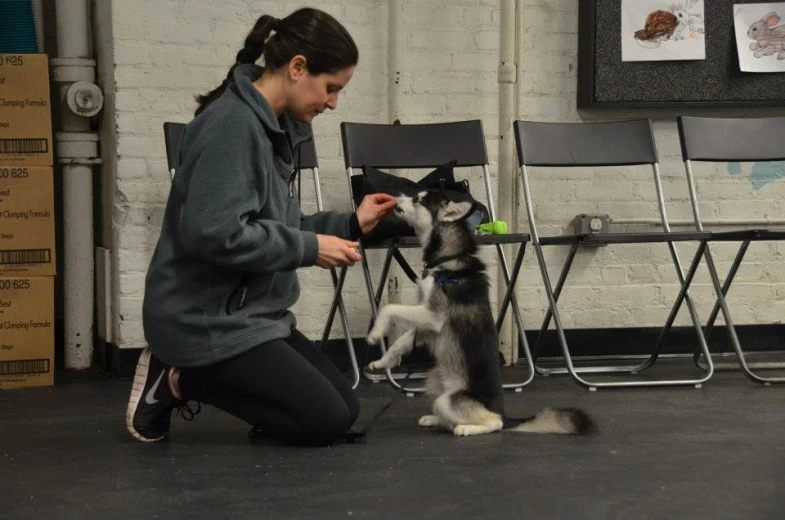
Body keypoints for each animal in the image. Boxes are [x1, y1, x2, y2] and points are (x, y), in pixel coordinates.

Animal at [364, 191, 592, 434]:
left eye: (418, 199)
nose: (395, 196)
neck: (447, 260)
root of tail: (505, 414)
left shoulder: (433, 317)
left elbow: (389, 307)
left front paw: (375, 333)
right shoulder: (426, 328)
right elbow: (399, 343)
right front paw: (381, 363)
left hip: (449, 400)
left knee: (493, 422)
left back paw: (467, 428)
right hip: (435, 382)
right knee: (448, 416)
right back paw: (435, 419)